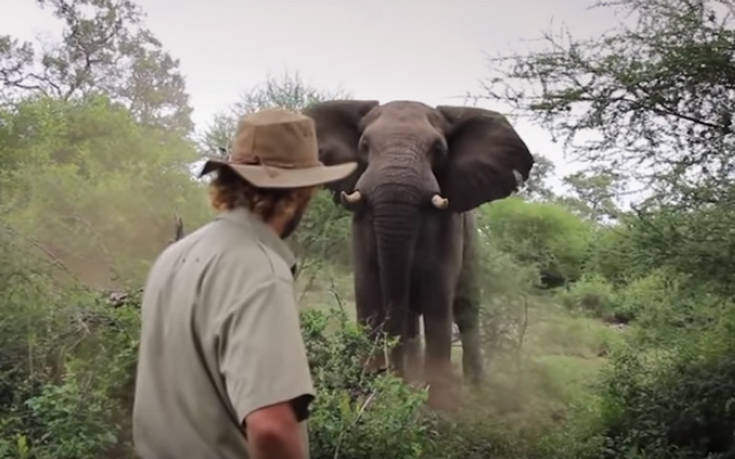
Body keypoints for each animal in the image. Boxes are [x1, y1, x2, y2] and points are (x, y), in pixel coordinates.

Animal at [302, 100, 532, 406]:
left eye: (438, 148)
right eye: (364, 145)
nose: (388, 374)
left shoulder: (448, 227)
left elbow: (437, 300)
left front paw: (438, 403)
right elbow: (368, 294)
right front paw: (370, 386)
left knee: (466, 312)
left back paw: (475, 391)